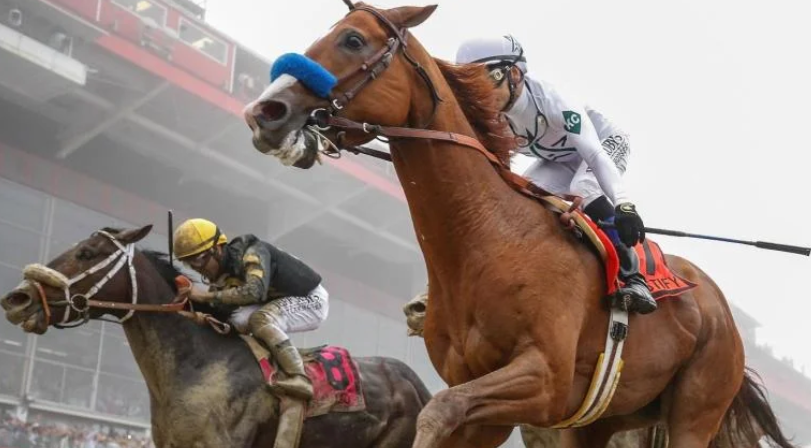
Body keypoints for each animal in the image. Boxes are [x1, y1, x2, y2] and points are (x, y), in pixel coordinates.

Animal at [241, 2, 795, 447]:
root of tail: (717, 304)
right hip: (600, 421)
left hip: (695, 409)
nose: (264, 111)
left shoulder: (542, 380)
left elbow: (435, 413)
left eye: (352, 39)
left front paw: (628, 222)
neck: (489, 237)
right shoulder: (488, 404)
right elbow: (445, 412)